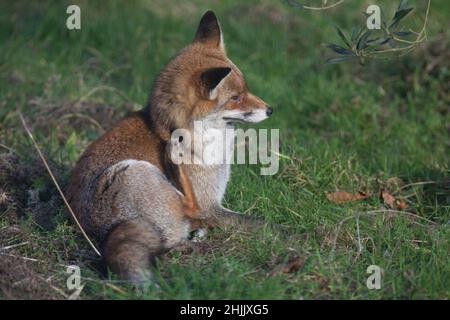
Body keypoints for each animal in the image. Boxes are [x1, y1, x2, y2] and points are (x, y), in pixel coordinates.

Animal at [65, 11, 272, 284]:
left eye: (246, 89)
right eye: (235, 98)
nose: (270, 110)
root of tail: (98, 235)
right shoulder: (211, 206)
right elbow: (264, 224)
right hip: (132, 171)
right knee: (189, 209)